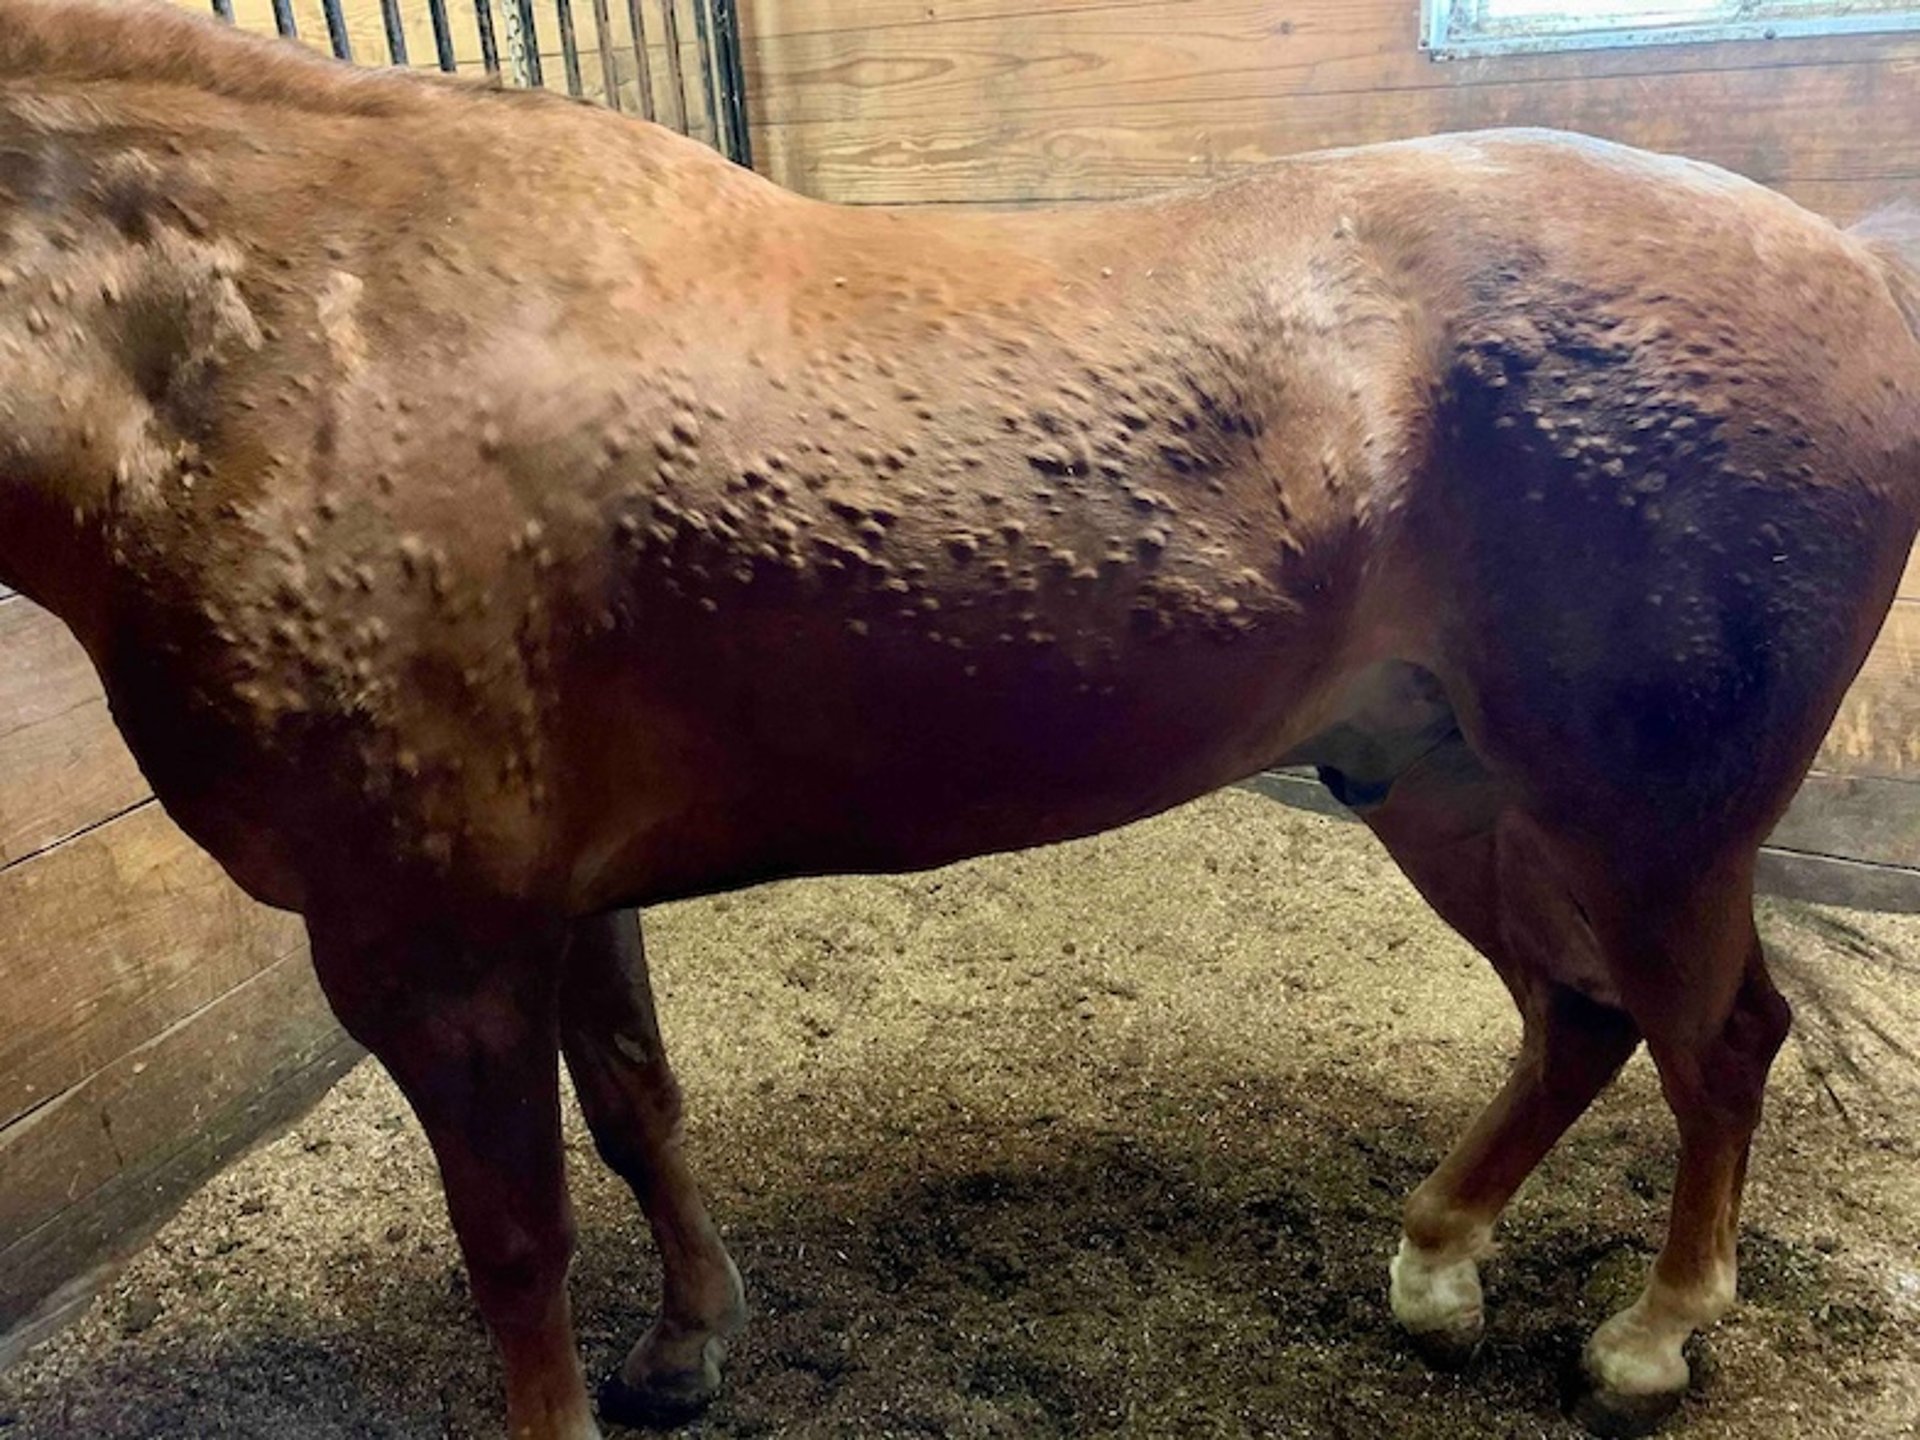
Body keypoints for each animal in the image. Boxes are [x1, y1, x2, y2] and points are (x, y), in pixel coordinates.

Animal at [1, 2, 1915, 1435]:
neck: (283, 339)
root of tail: (1843, 266)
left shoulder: (428, 945)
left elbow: (517, 1243)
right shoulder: (554, 900)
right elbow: (636, 1109)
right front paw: (690, 1346)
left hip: (1648, 824)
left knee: (1719, 1042)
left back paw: (1649, 1342)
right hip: (1442, 786)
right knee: (1580, 1021)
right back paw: (1437, 1268)